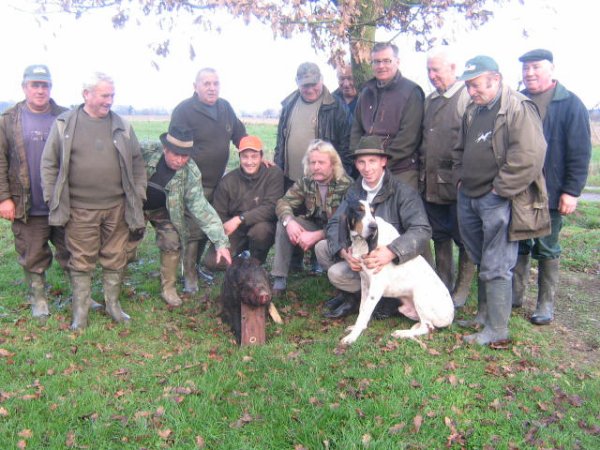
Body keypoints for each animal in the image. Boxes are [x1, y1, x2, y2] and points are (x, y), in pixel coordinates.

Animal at [340, 200, 452, 344]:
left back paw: (402, 333)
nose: (373, 227)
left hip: (420, 296)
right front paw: (356, 328)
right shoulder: (365, 283)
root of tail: (451, 317)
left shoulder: (376, 288)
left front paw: (352, 337)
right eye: (359, 210)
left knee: (427, 327)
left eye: (372, 212)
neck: (362, 243)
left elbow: (364, 313)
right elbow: (362, 309)